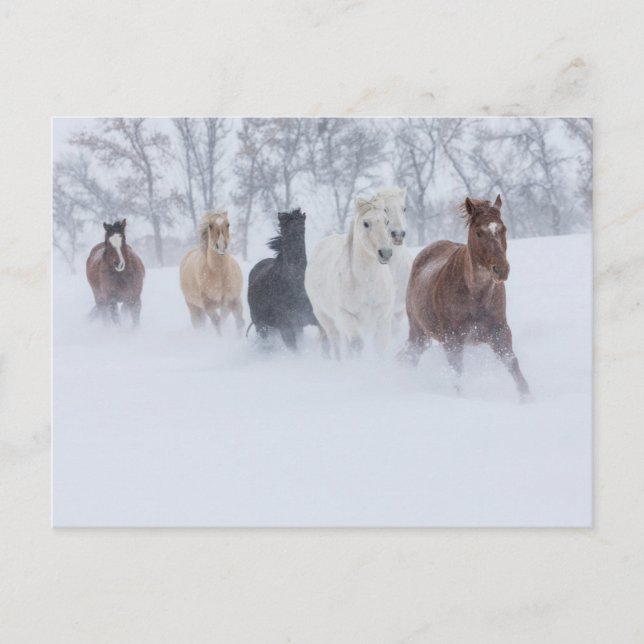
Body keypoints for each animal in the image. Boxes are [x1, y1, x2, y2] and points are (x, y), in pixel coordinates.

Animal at [247, 208, 318, 351]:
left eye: (302, 226)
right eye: (284, 228)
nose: (295, 243)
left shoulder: (310, 319)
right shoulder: (286, 328)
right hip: (261, 326)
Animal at [305, 195, 395, 358]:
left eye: (386, 221)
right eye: (366, 223)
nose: (385, 253)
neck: (367, 283)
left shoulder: (383, 318)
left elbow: (380, 346)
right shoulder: (346, 316)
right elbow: (357, 345)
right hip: (325, 317)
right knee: (336, 342)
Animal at [400, 195, 531, 401]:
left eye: (503, 229)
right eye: (478, 232)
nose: (501, 269)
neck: (476, 296)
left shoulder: (499, 331)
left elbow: (512, 363)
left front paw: (527, 398)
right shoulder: (453, 340)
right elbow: (457, 374)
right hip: (419, 332)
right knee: (407, 357)